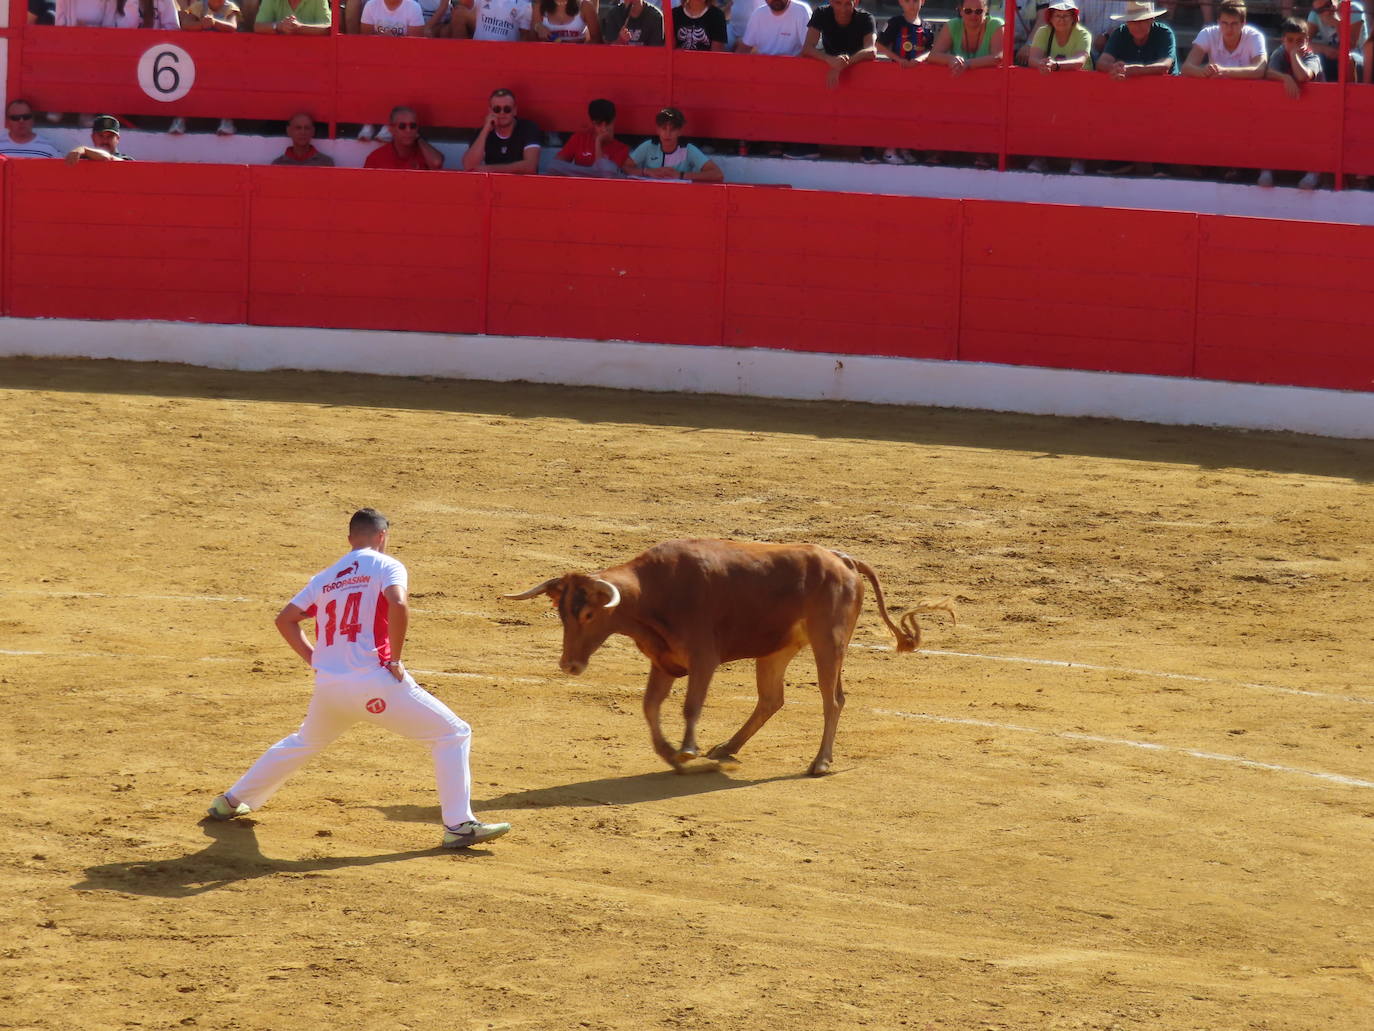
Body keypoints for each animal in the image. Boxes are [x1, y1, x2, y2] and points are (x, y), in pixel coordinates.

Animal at [505, 541, 956, 775]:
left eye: (588, 614)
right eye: (561, 612)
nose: (569, 665)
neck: (651, 592)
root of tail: (841, 558)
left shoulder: (703, 658)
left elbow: (690, 705)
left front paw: (686, 750)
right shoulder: (663, 660)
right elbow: (651, 707)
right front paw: (670, 753)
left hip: (830, 642)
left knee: (833, 699)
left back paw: (820, 762)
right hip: (777, 650)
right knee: (772, 698)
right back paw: (727, 748)